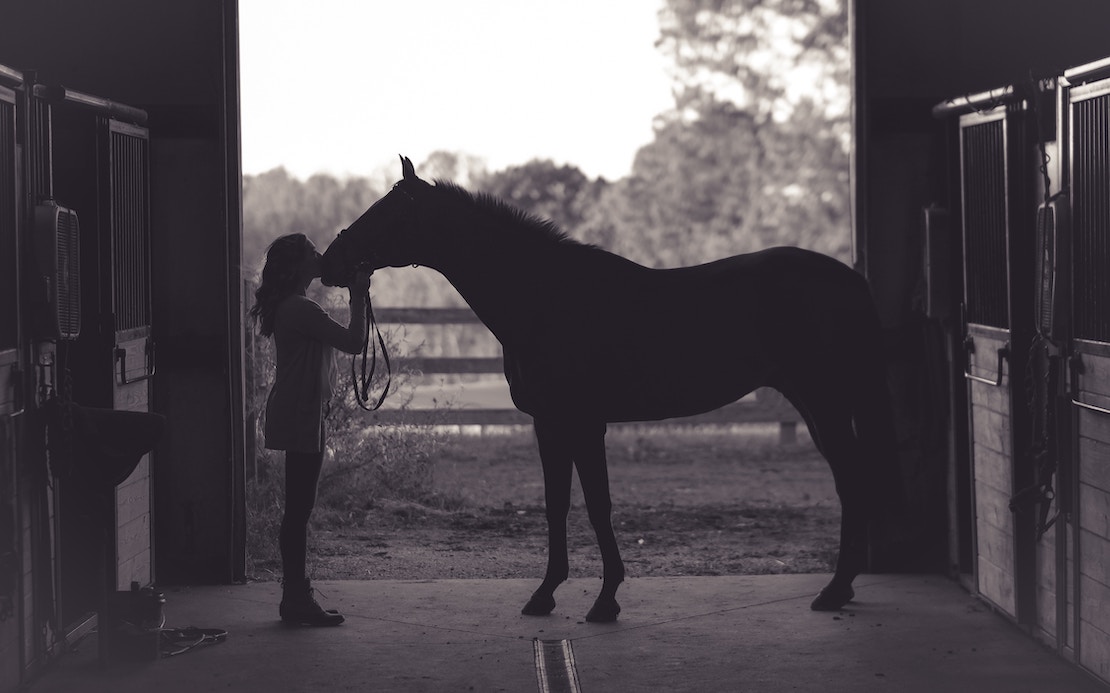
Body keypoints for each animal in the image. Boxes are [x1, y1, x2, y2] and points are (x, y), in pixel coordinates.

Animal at [321, 155, 901, 621]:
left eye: (386, 213)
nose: (329, 263)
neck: (546, 298)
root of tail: (849, 278)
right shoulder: (549, 423)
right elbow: (557, 504)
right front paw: (545, 595)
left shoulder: (584, 422)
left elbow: (597, 505)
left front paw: (605, 601)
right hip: (815, 404)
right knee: (851, 479)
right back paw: (840, 589)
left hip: (826, 402)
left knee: (853, 480)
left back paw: (834, 590)